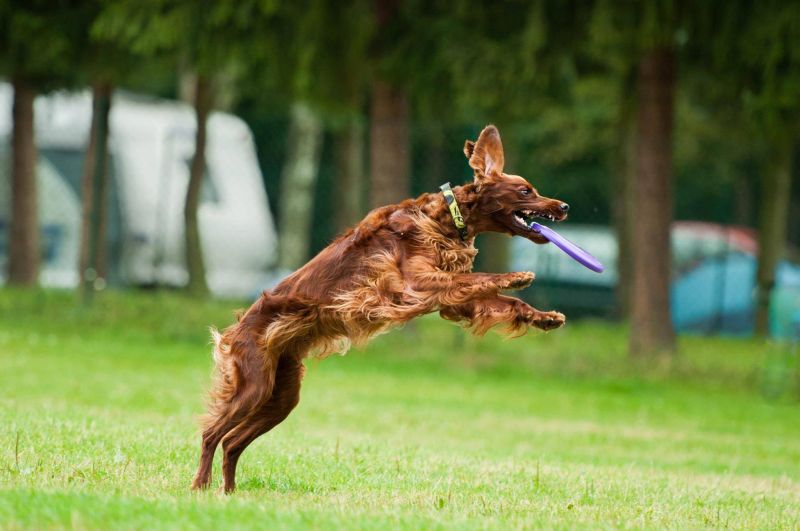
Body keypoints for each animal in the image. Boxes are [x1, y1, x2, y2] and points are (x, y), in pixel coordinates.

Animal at [191, 124, 568, 494]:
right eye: (524, 190)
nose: (563, 206)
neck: (445, 218)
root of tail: (235, 330)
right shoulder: (416, 284)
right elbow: (481, 278)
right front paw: (517, 276)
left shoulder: (451, 299)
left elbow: (500, 299)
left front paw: (546, 317)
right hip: (253, 385)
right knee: (212, 434)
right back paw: (201, 486)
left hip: (281, 396)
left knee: (233, 442)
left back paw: (229, 491)